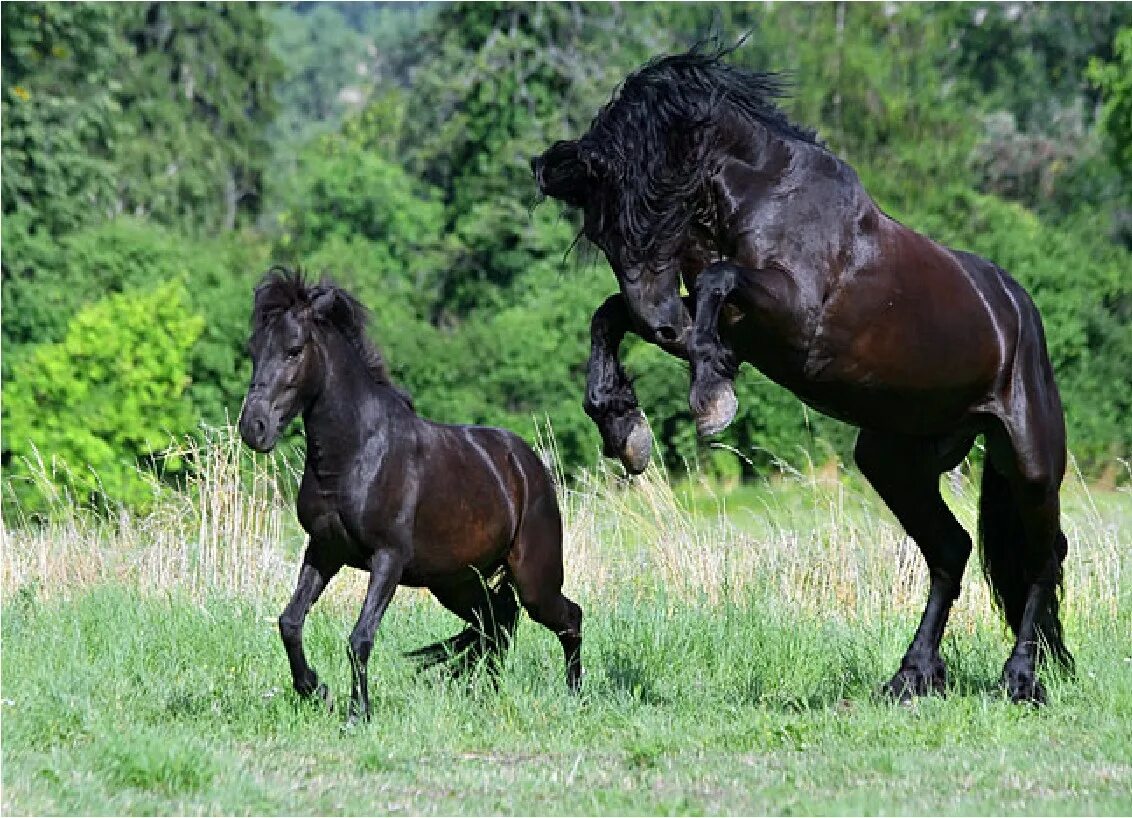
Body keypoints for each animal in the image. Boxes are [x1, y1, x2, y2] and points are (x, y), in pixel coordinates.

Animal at [235, 269, 579, 724]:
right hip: (455, 583)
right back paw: (486, 697)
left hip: (534, 579)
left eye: (294, 350)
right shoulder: (324, 549)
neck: (358, 453)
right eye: (254, 349)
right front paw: (316, 690)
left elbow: (360, 638)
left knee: (566, 618)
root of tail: (529, 466)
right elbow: (290, 622)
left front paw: (357, 713)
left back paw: (576, 695)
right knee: (497, 621)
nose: (253, 428)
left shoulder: (388, 558)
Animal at [534, 49, 1073, 705]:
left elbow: (714, 279)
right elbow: (614, 313)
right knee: (953, 550)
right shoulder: (735, 322)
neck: (770, 195)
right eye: (602, 232)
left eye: (655, 208)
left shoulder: (793, 314)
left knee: (1043, 557)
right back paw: (912, 675)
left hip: (1030, 462)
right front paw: (624, 426)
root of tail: (1018, 308)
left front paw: (710, 396)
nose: (660, 326)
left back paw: (1020, 678)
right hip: (895, 461)